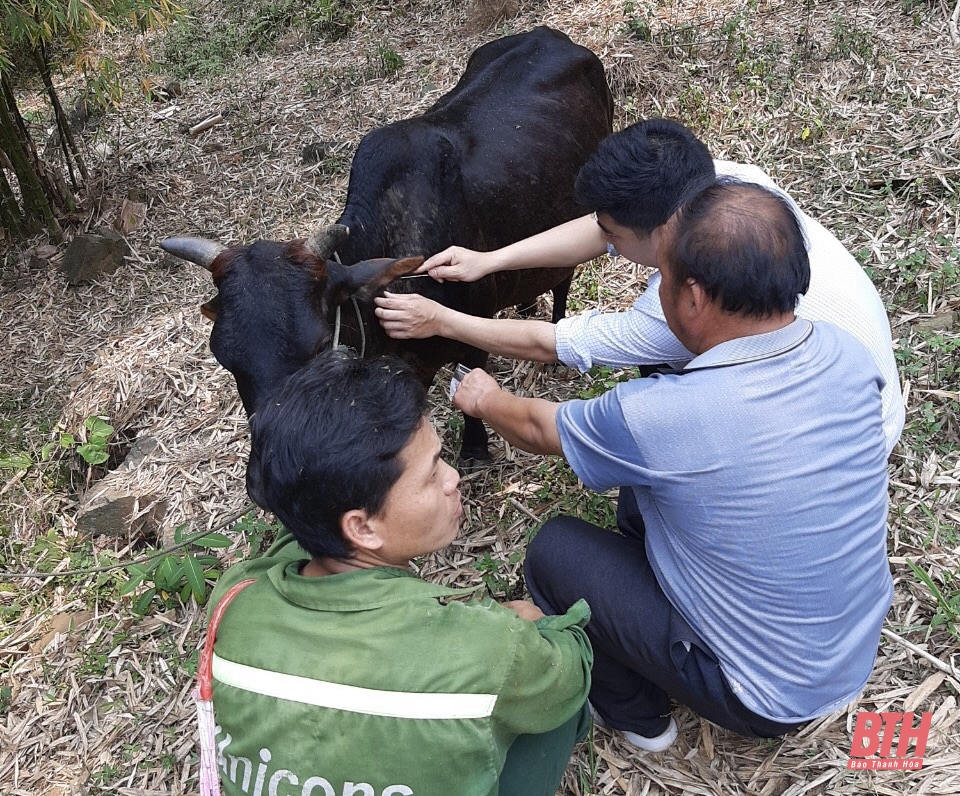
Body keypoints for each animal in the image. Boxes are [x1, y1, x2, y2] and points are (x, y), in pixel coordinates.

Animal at [161, 26, 612, 460]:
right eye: (224, 357)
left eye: (321, 346)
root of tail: (551, 34)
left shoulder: (471, 338)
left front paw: (475, 448)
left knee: (562, 281)